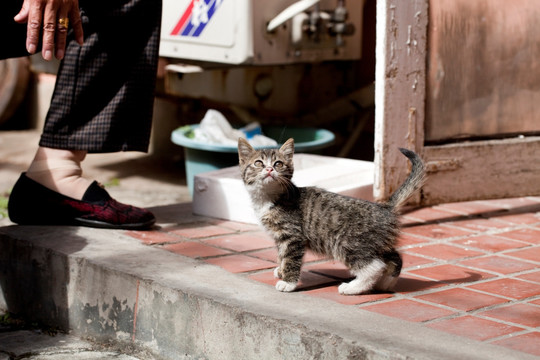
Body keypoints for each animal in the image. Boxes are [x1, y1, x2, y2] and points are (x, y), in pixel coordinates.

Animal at [238, 138, 424, 296]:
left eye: (278, 164)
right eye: (258, 163)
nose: (269, 169)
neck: (268, 198)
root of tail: (385, 207)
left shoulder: (292, 236)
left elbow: (290, 258)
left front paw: (288, 282)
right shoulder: (280, 237)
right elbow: (282, 255)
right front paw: (281, 270)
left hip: (347, 242)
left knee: (375, 266)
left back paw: (353, 287)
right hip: (375, 243)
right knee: (395, 258)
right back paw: (385, 283)